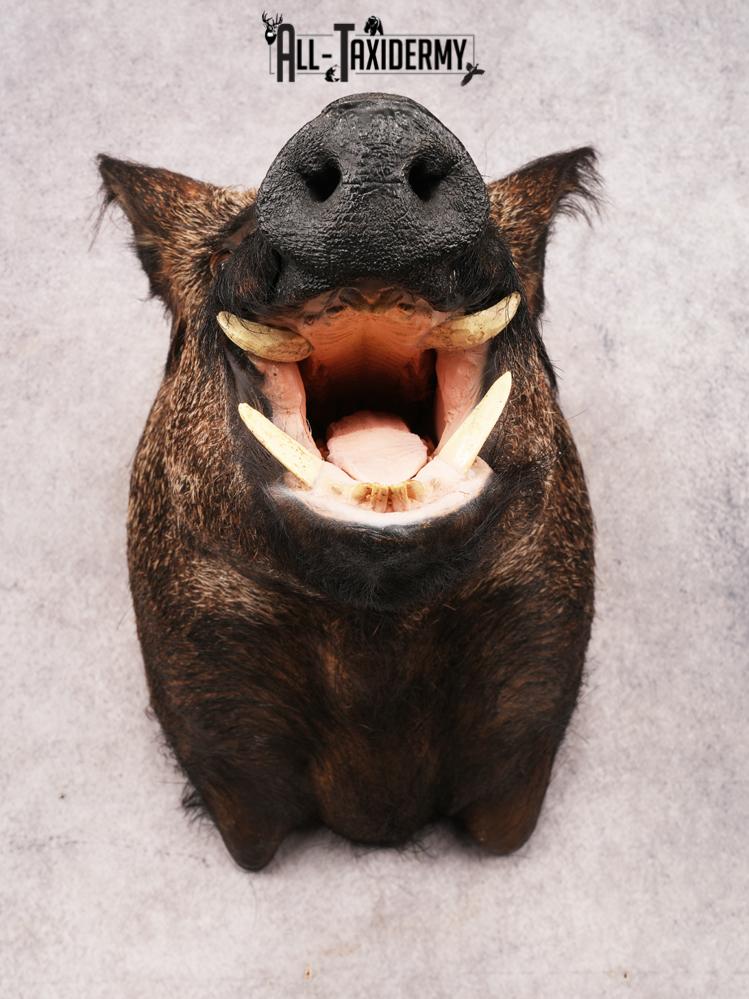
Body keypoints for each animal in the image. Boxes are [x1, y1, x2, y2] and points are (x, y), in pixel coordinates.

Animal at [99, 93, 598, 871]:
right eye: (220, 250)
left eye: (501, 240)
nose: (374, 115)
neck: (372, 642)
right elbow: (250, 842)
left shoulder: (539, 653)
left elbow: (502, 833)